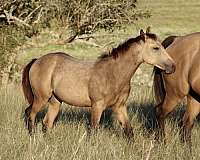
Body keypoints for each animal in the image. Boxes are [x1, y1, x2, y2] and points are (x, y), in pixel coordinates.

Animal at [22, 28, 175, 138]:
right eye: (156, 48)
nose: (173, 66)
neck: (112, 74)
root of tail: (36, 61)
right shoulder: (97, 106)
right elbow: (93, 130)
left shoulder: (119, 106)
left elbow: (128, 130)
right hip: (41, 98)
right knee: (30, 114)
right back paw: (32, 137)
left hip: (55, 102)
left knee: (46, 123)